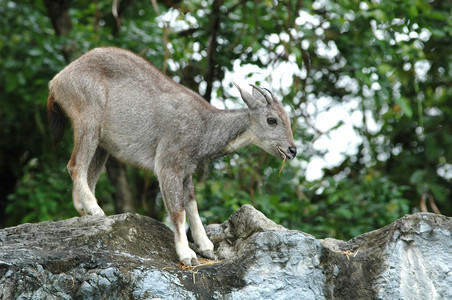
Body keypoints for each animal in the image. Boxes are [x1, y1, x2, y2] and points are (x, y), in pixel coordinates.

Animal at [47, 47, 298, 264]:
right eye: (272, 120)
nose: (292, 150)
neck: (205, 127)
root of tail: (57, 81)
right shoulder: (169, 165)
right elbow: (178, 212)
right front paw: (187, 254)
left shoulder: (186, 171)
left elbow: (192, 206)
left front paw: (206, 247)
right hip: (88, 119)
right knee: (75, 165)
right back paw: (95, 209)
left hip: (102, 146)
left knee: (88, 177)